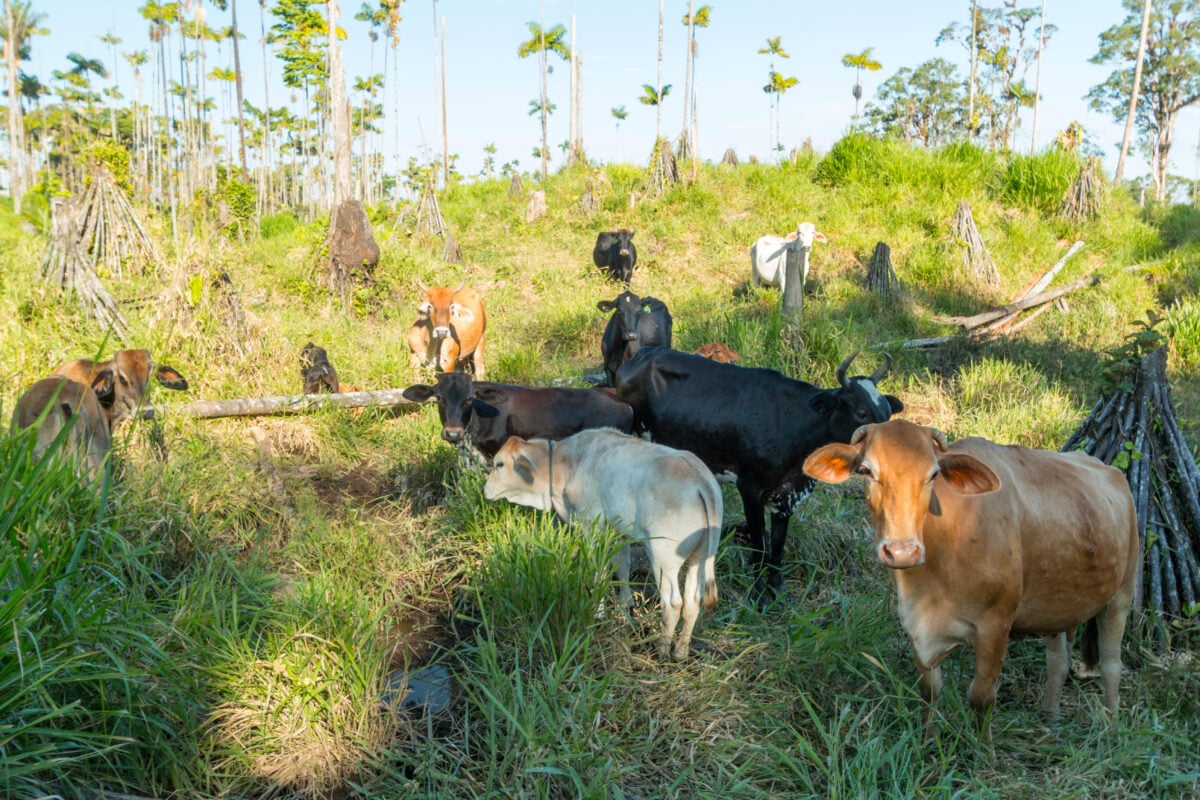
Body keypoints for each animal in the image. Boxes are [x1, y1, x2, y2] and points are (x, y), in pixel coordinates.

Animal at [480, 429, 720, 662]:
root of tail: (700, 480)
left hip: (664, 560)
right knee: (693, 601)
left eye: (499, 464)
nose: (485, 490)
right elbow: (622, 566)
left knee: (673, 604)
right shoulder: (620, 530)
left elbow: (599, 571)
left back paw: (661, 651)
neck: (565, 464)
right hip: (699, 558)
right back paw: (680, 652)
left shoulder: (591, 526)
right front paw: (624, 607)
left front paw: (598, 612)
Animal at [614, 347, 902, 604]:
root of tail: (643, 354)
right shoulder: (750, 489)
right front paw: (758, 595)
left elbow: (777, 544)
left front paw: (778, 589)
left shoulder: (787, 495)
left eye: (887, 414)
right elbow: (759, 545)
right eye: (861, 414)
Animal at [801, 422, 1137, 743]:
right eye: (866, 471)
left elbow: (981, 697)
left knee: (1111, 665)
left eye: (934, 473)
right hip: (1056, 606)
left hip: (1122, 594)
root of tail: (1108, 468)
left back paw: (1113, 730)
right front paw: (927, 743)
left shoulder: (995, 626)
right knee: (1058, 661)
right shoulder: (915, 625)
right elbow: (929, 690)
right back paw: (1049, 721)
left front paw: (985, 754)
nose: (902, 551)